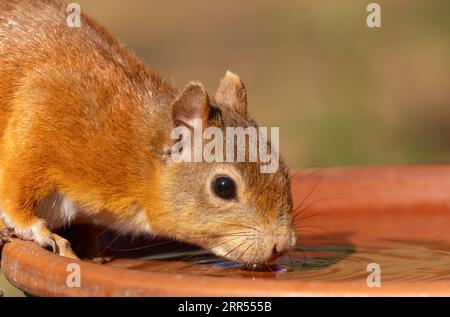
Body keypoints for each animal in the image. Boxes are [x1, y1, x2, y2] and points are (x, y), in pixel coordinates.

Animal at [0, 0, 296, 264]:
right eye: (223, 187)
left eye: (282, 168)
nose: (281, 244)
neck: (137, 155)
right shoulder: (47, 111)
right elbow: (16, 191)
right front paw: (39, 231)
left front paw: (91, 253)